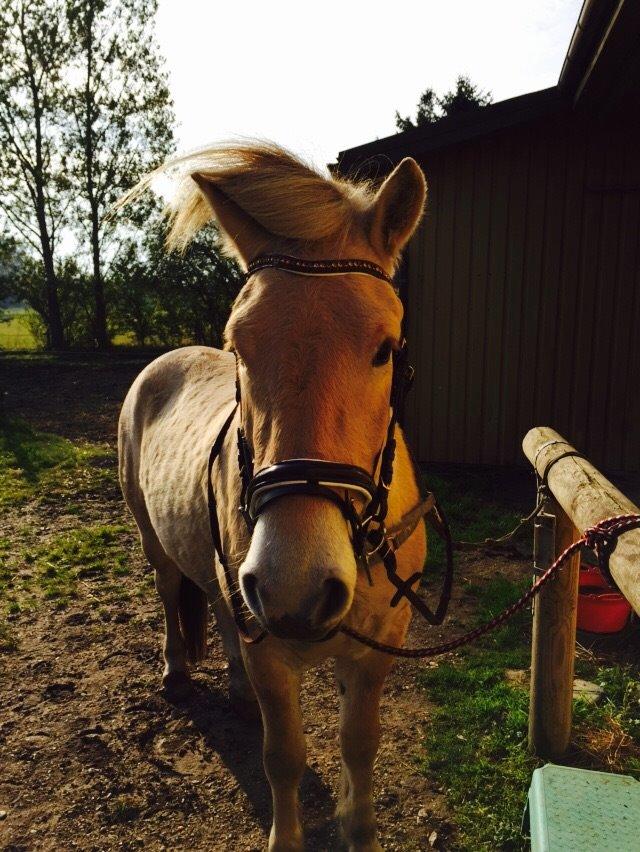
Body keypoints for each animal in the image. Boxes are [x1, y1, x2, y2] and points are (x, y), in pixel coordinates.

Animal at [119, 143, 430, 848]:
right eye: (239, 347)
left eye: (386, 349)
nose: (295, 587)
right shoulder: (271, 651)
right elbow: (283, 755)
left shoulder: (376, 648)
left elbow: (359, 746)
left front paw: (359, 829)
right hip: (154, 541)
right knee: (170, 593)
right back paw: (177, 674)